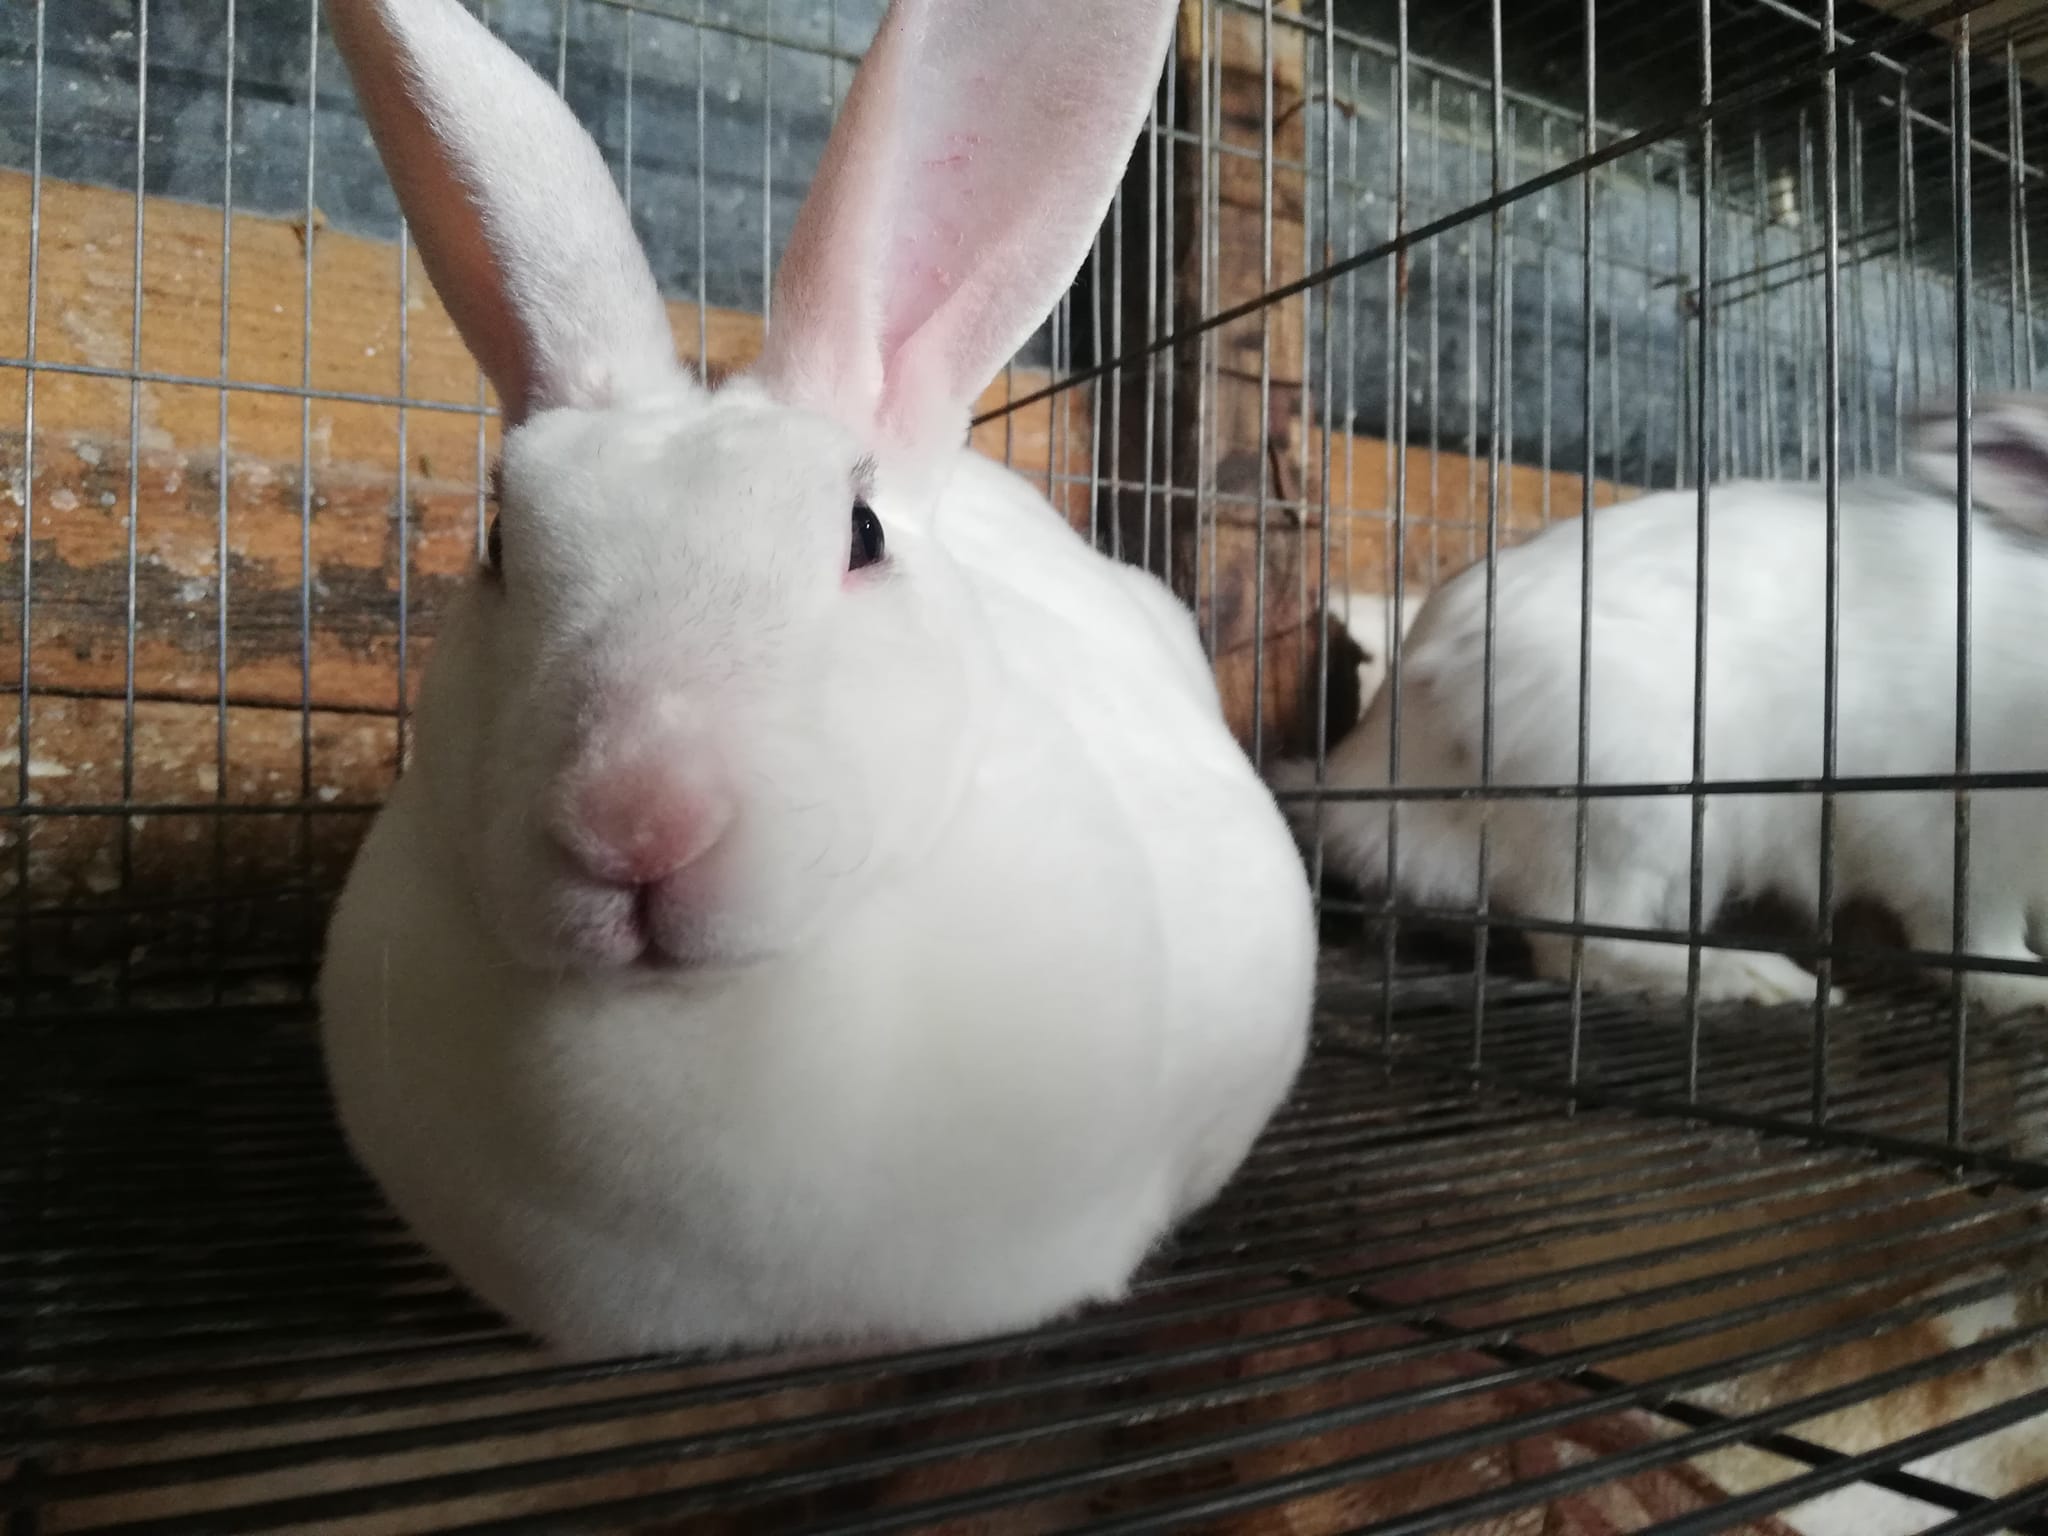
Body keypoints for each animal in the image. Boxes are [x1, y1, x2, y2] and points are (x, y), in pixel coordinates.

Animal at [1280, 396, 2048, 1015]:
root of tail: (1372, 770)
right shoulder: (1949, 824)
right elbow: (1972, 934)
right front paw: (2027, 986)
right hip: (1632, 807)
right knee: (1580, 940)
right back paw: (1763, 979)